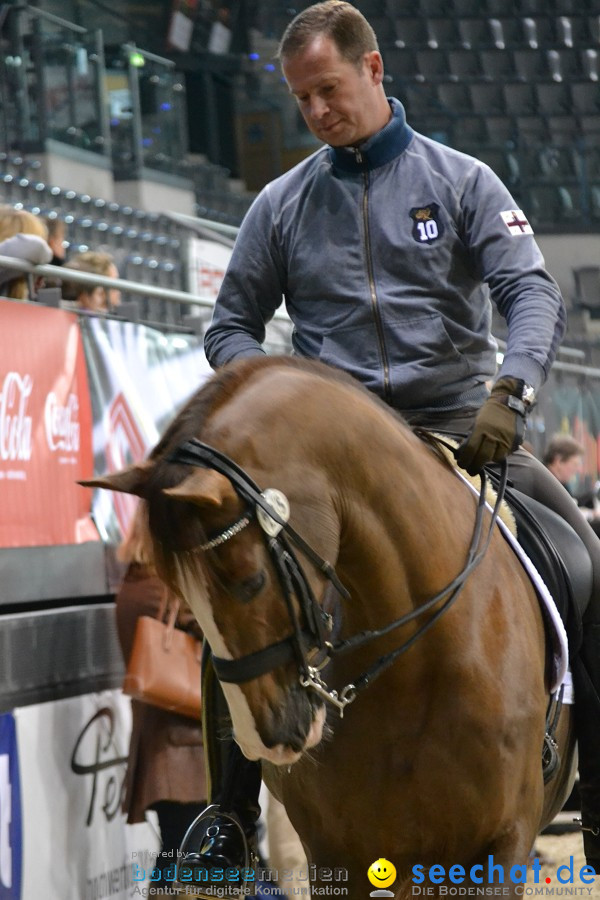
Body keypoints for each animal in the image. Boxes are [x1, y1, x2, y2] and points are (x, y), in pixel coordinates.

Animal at [86, 356, 576, 896]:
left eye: (251, 580)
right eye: (176, 591)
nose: (265, 739)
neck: (418, 667)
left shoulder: (501, 844)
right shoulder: (338, 854)